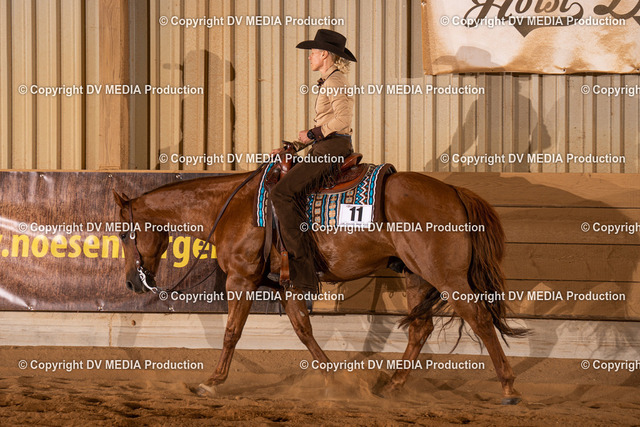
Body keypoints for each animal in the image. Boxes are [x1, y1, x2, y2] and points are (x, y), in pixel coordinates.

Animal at [113, 168, 527, 404]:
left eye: (122, 233)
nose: (132, 282)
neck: (231, 208)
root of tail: (454, 191)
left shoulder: (241, 279)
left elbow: (231, 332)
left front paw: (211, 383)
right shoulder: (288, 285)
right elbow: (303, 330)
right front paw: (336, 381)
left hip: (446, 276)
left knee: (479, 319)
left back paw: (508, 387)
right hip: (416, 275)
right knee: (421, 328)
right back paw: (393, 386)